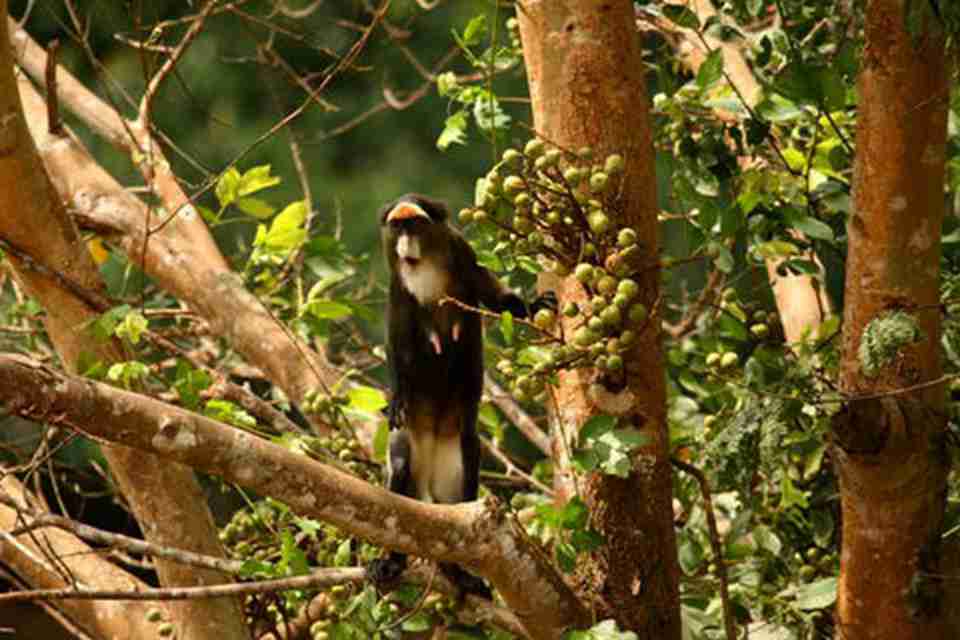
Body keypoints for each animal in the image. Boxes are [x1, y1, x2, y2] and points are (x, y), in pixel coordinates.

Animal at [368, 192, 528, 596]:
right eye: (397, 226)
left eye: (414, 224)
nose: (406, 245)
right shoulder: (398, 287)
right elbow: (397, 342)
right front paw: (396, 396)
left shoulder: (462, 253)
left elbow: (493, 294)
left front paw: (529, 307)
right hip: (410, 448)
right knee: (400, 474)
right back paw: (392, 563)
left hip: (457, 456)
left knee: (464, 486)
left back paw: (460, 573)